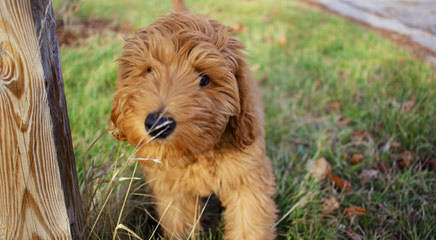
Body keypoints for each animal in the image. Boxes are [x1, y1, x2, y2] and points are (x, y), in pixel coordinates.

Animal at [110, 0, 278, 239]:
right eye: (149, 70)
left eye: (204, 79)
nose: (158, 125)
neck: (199, 151)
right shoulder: (172, 191)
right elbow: (178, 223)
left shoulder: (247, 182)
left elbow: (249, 227)